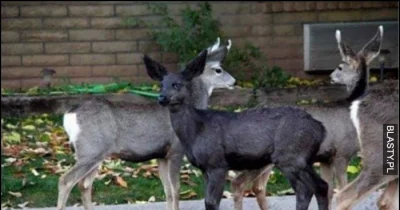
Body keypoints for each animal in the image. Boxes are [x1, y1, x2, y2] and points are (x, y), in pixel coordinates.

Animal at [57, 37, 236, 210]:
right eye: (218, 69)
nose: (234, 81)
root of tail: (69, 114)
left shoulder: (161, 155)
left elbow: (167, 191)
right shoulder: (175, 150)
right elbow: (176, 189)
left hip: (96, 152)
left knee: (84, 185)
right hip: (91, 149)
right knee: (66, 180)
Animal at [145, 49, 332, 210]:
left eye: (177, 85)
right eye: (161, 85)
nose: (161, 97)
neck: (197, 130)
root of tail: (321, 129)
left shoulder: (217, 163)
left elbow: (211, 202)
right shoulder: (204, 168)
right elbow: (208, 201)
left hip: (291, 156)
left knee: (308, 189)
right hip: (302, 159)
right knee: (319, 187)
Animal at [330, 25, 398, 210]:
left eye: (340, 67)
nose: (331, 76)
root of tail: (358, 104)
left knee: (385, 200)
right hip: (383, 156)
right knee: (342, 196)